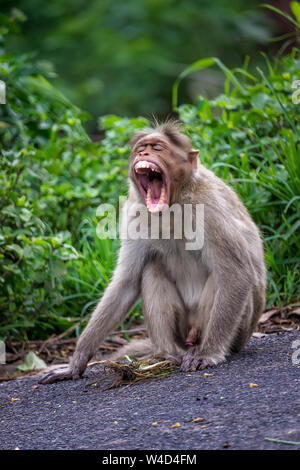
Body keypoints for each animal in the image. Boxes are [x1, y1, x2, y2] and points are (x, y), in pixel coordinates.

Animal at [39, 119, 264, 384]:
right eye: (140, 149)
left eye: (157, 148)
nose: (144, 155)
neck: (173, 204)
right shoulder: (133, 212)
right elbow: (126, 281)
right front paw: (77, 361)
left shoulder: (209, 209)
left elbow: (237, 273)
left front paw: (209, 353)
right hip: (182, 330)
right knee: (151, 268)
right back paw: (167, 353)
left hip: (236, 328)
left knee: (222, 278)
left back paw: (198, 350)